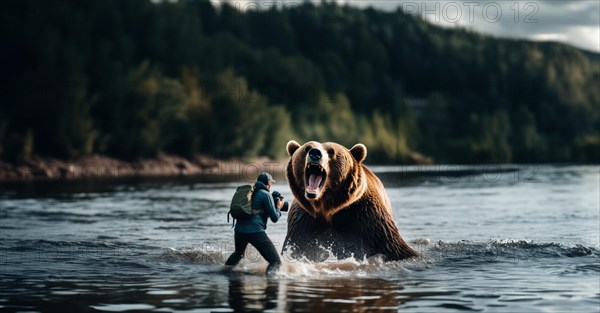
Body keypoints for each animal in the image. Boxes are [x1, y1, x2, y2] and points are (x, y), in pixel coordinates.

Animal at [282, 140, 418, 260]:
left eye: (331, 151)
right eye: (307, 148)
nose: (315, 153)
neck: (326, 209)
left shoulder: (365, 217)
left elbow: (393, 248)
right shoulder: (304, 220)